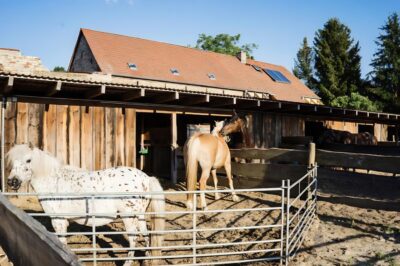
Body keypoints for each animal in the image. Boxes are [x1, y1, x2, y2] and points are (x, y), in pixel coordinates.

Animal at [6, 145, 166, 266]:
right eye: (13, 162)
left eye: (28, 160)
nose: (12, 181)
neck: (54, 182)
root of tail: (146, 178)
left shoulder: (58, 220)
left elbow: (62, 243)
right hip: (140, 216)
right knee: (146, 236)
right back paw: (147, 260)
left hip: (129, 217)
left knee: (133, 239)